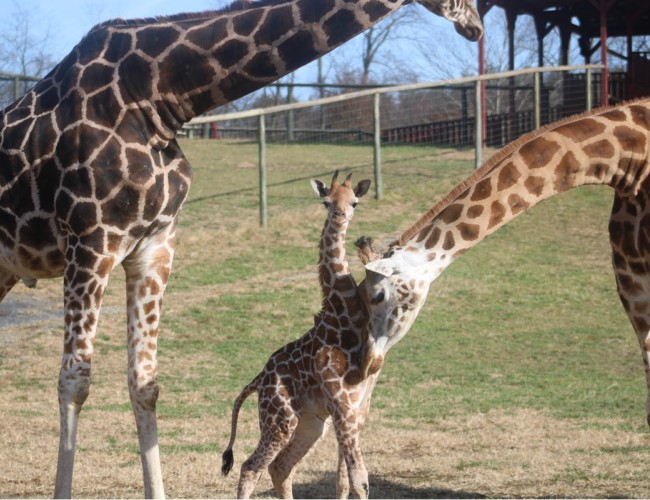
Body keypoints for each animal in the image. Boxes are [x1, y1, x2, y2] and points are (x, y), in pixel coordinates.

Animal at [221, 170, 380, 498]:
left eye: (355, 202)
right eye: (326, 201)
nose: (340, 217)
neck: (342, 316)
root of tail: (259, 379)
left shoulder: (356, 408)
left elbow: (345, 477)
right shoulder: (342, 403)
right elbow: (359, 478)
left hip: (310, 422)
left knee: (280, 467)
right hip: (279, 420)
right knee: (251, 466)